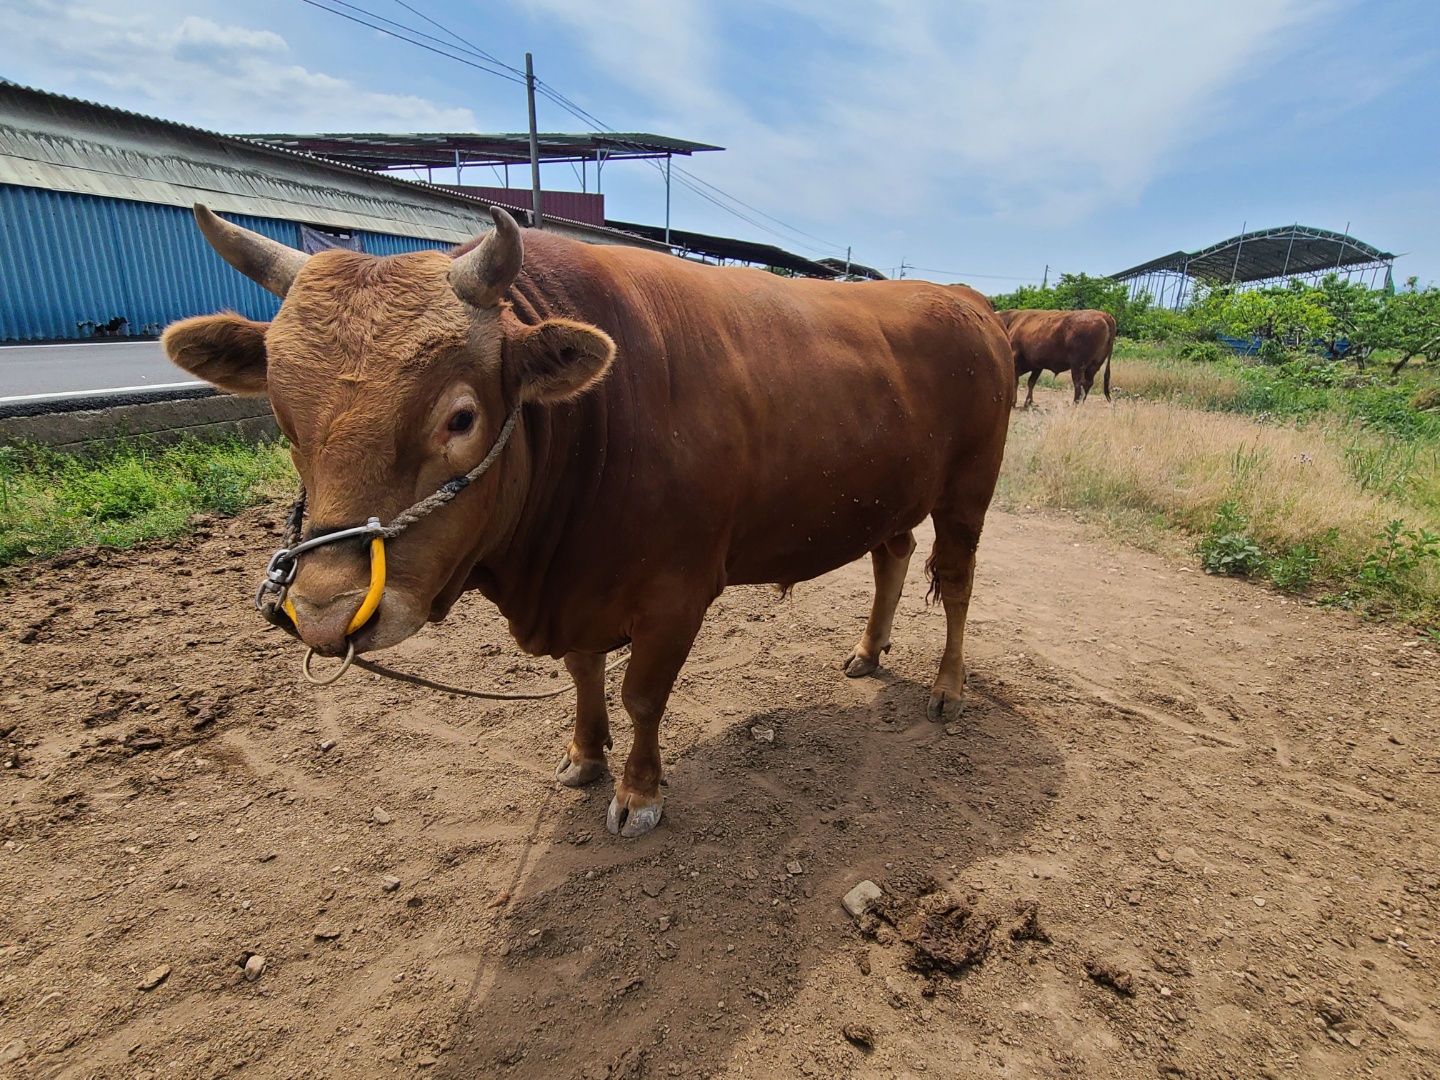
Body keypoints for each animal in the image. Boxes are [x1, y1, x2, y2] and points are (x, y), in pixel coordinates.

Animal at [165, 207, 1013, 840]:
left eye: (461, 417)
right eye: (283, 420)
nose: (323, 615)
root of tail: (967, 302)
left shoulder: (677, 595)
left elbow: (643, 695)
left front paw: (638, 793)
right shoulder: (579, 590)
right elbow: (583, 674)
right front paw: (584, 755)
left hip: (968, 493)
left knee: (958, 582)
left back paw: (947, 689)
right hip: (890, 496)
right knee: (892, 556)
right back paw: (869, 652)